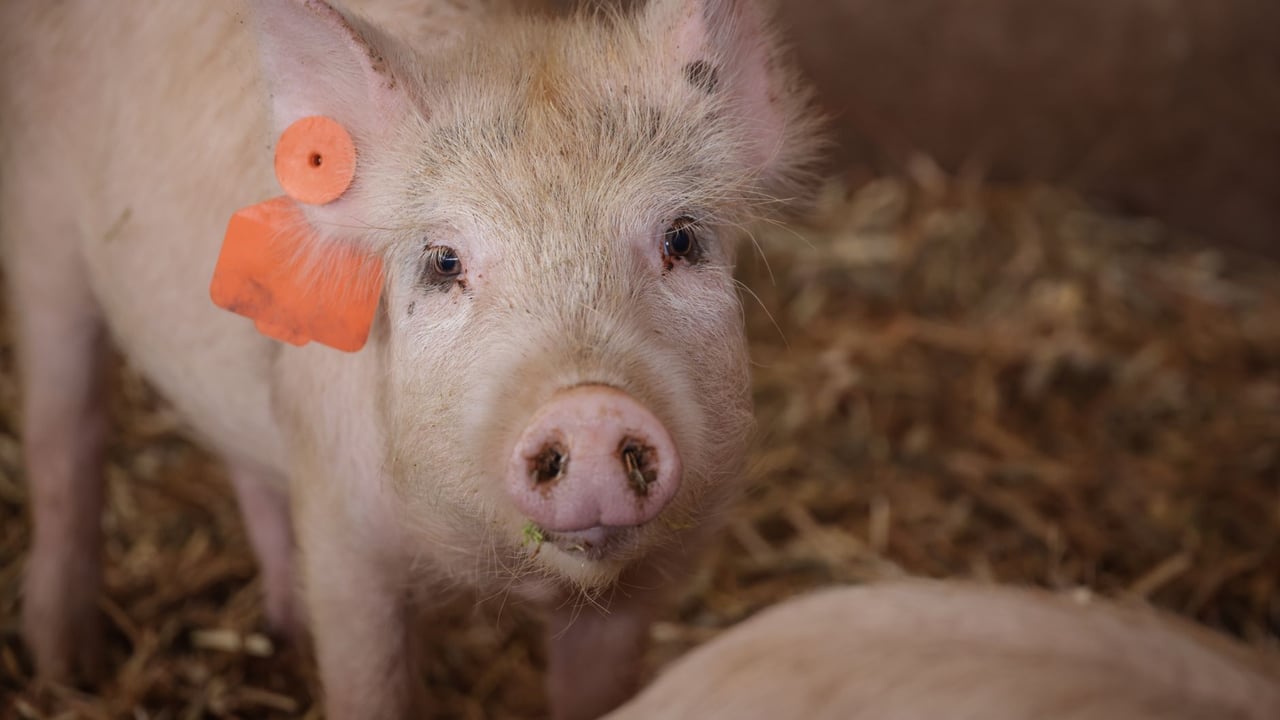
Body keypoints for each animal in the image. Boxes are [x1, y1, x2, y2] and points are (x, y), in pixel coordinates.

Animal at [0, 0, 821, 717]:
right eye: (444, 261)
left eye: (681, 239)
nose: (590, 405)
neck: (497, 573)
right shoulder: (344, 535)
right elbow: (368, 683)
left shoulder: (646, 582)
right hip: (44, 240)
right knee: (65, 437)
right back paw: (66, 664)